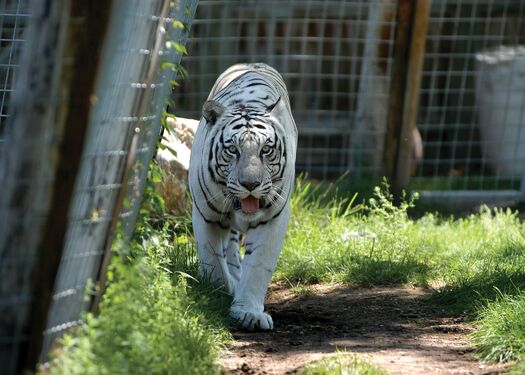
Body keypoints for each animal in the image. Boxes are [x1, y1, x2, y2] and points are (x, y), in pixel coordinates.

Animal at [188, 63, 296, 330]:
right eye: (232, 150)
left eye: (265, 149)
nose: (250, 184)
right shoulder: (206, 215)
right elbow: (213, 260)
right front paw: (218, 291)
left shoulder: (273, 219)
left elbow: (258, 266)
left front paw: (249, 312)